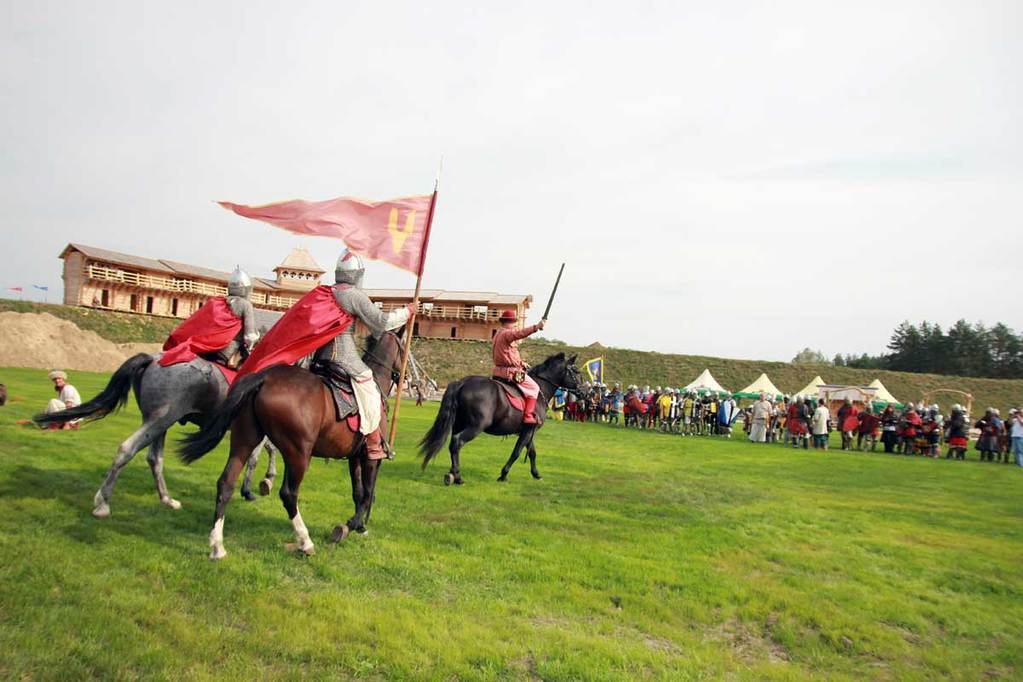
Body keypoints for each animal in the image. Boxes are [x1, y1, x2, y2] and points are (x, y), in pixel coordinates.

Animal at [35, 355, 276, 515]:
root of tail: (153, 360)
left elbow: (267, 451)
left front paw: (263, 481)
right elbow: (257, 457)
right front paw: (257, 486)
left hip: (159, 423)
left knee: (154, 458)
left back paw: (167, 500)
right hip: (160, 419)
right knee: (127, 449)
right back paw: (103, 503)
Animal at [175, 331, 403, 560]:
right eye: (403, 350)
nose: (404, 375)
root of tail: (264, 378)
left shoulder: (354, 457)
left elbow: (358, 492)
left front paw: (358, 526)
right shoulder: (370, 458)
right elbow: (367, 493)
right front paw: (351, 525)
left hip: (245, 442)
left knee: (226, 482)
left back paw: (217, 546)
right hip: (299, 454)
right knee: (289, 494)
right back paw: (305, 542)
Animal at [415, 355, 576, 482]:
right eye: (577, 372)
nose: (582, 391)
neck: (540, 391)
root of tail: (462, 382)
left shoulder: (529, 430)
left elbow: (531, 453)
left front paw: (536, 474)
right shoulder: (528, 431)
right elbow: (516, 452)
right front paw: (503, 474)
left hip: (458, 425)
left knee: (452, 445)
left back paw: (452, 474)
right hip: (476, 427)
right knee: (457, 442)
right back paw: (458, 477)